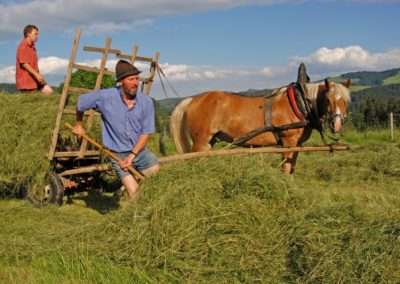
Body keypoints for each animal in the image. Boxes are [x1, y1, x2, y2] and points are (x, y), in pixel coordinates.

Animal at [170, 79, 352, 174]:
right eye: (328, 100)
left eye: (346, 101)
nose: (336, 125)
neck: (301, 104)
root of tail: (192, 100)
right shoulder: (288, 143)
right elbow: (286, 168)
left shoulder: (297, 145)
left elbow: (291, 167)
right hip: (201, 141)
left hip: (209, 142)